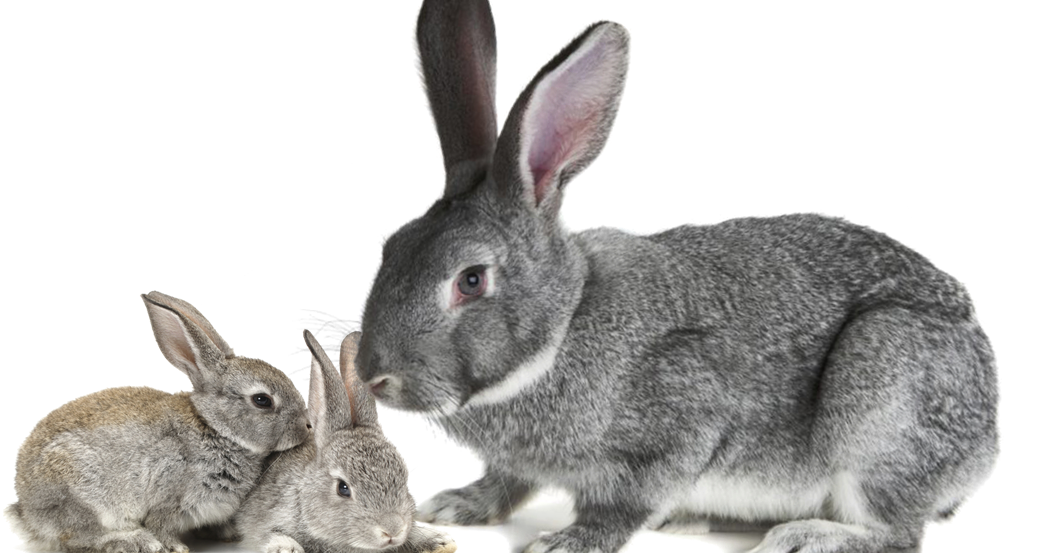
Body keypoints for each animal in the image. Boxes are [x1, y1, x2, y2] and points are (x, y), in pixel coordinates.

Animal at [3, 291, 312, 553]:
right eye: (262, 400)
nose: (306, 427)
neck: (215, 428)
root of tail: (28, 507)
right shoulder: (170, 495)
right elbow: (161, 524)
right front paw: (176, 547)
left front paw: (228, 534)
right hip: (81, 500)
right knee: (78, 537)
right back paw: (137, 541)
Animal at [350, 1, 1003, 553]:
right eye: (393, 248)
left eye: (471, 281)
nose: (376, 377)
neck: (562, 328)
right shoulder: (518, 467)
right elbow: (506, 485)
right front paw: (456, 506)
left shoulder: (680, 425)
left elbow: (631, 501)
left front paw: (570, 541)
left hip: (883, 387)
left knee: (892, 530)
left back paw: (805, 536)